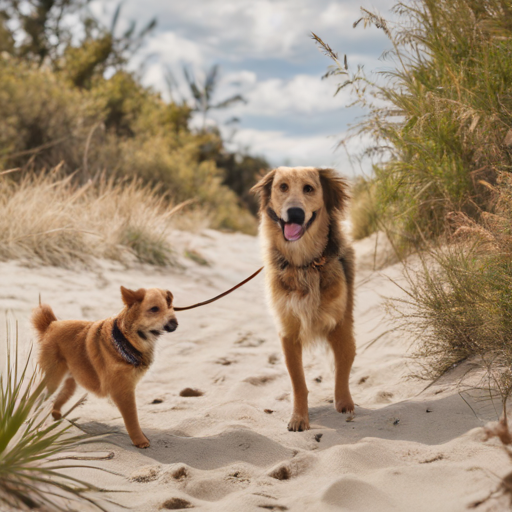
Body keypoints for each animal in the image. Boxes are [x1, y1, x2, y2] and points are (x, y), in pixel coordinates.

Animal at [33, 288, 178, 448]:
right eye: (154, 309)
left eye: (169, 306)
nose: (175, 324)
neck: (126, 339)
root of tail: (52, 324)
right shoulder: (122, 390)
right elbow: (132, 418)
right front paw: (140, 441)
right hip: (53, 377)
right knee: (40, 394)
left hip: (72, 378)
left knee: (62, 394)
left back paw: (56, 414)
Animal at [250, 168, 354, 432]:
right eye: (283, 187)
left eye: (309, 188)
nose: (295, 213)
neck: (304, 264)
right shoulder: (288, 331)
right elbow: (298, 381)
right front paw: (299, 418)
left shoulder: (340, 325)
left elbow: (343, 366)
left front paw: (344, 403)